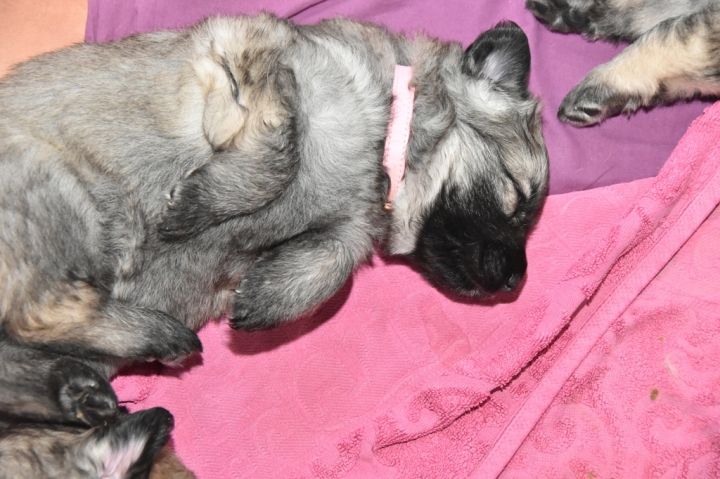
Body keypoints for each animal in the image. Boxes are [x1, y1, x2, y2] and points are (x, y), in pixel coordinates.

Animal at [0, 13, 548, 475]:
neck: (384, 130)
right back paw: (160, 337)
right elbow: (281, 148)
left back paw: (83, 392)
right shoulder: (252, 57)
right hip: (59, 187)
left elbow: (336, 260)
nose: (516, 279)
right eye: (516, 194)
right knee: (41, 310)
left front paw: (266, 296)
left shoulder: (348, 224)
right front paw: (194, 208)